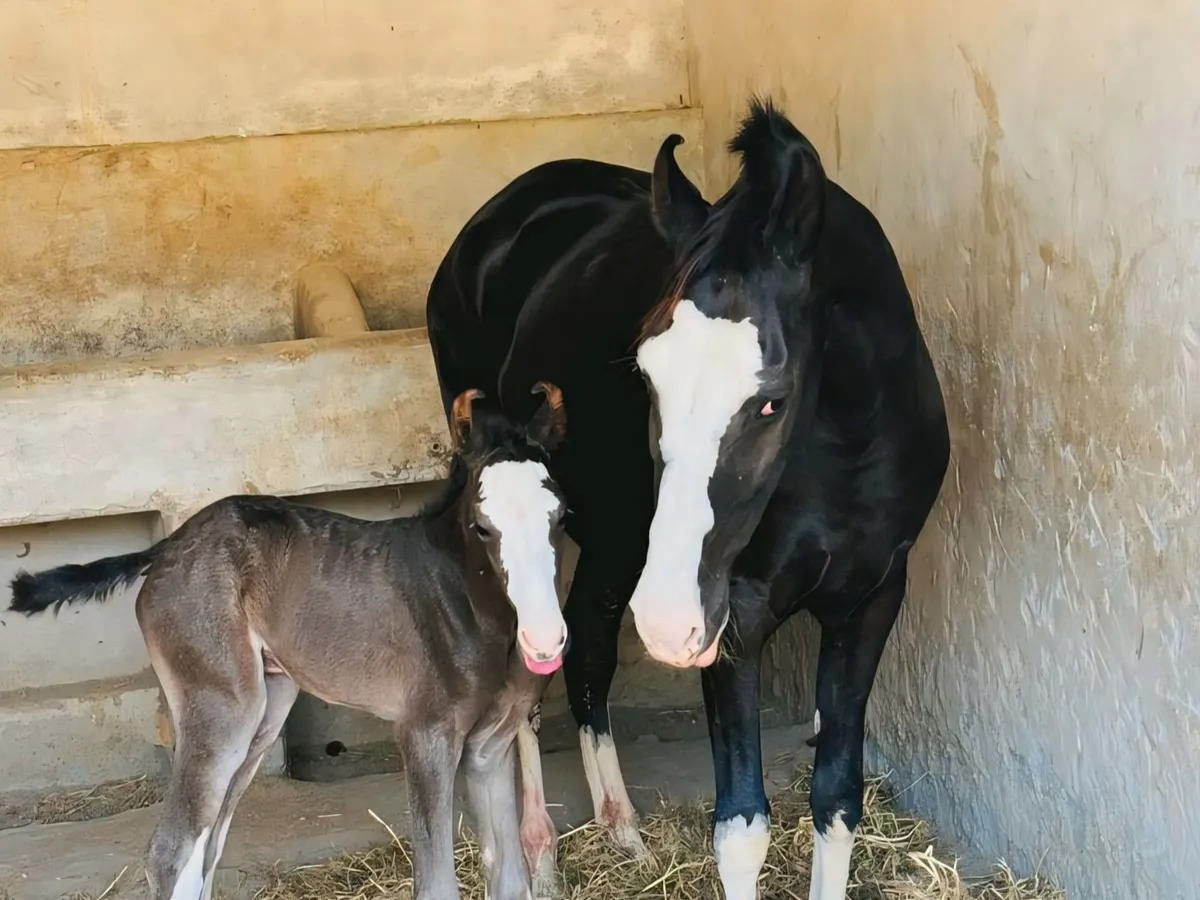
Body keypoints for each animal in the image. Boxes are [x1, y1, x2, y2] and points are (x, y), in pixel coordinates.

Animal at [9, 386, 572, 900]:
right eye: (482, 526)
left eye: (561, 515)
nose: (545, 639)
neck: (465, 600)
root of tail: (168, 546)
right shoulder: (426, 734)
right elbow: (436, 885)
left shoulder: (489, 747)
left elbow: (509, 878)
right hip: (222, 705)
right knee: (172, 853)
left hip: (267, 707)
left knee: (206, 848)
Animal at [425, 97, 950, 900]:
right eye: (645, 374)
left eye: (772, 399)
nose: (671, 627)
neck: (846, 458)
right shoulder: (737, 617)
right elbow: (741, 827)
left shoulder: (870, 601)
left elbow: (836, 800)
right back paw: (540, 855)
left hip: (616, 539)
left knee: (585, 649)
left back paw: (622, 831)